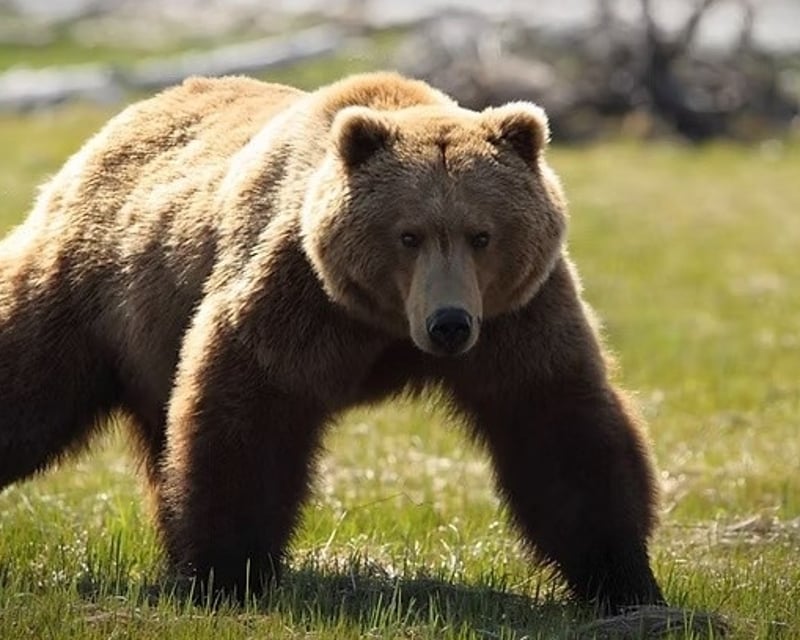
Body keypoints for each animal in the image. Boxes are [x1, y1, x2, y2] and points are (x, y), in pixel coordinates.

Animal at [0, 71, 665, 612]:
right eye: (408, 235)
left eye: (482, 234)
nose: (449, 323)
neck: (387, 324)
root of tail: (120, 124)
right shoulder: (296, 294)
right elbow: (246, 416)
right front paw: (226, 574)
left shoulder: (516, 318)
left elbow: (560, 424)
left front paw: (627, 582)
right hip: (92, 290)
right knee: (29, 382)